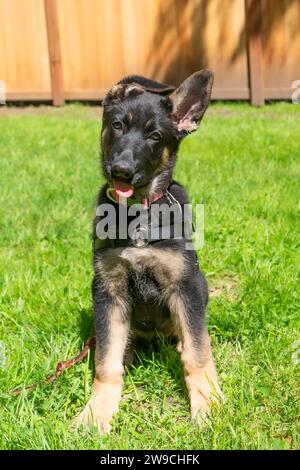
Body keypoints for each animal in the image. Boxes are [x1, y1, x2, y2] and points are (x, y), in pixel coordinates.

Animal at [76, 69, 221, 434]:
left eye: (155, 136)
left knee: (190, 337)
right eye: (117, 125)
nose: (121, 171)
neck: (137, 215)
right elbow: (107, 362)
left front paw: (208, 404)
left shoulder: (186, 285)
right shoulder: (108, 290)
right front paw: (97, 411)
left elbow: (197, 354)